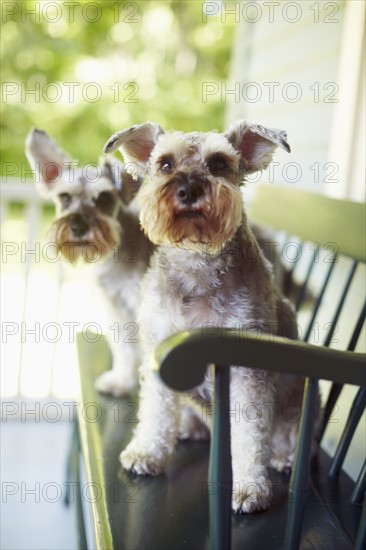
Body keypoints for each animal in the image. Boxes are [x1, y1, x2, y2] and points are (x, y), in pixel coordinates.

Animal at [25, 129, 154, 396]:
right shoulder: (116, 309)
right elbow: (125, 347)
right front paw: (122, 380)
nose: (78, 227)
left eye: (103, 198)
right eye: (64, 198)